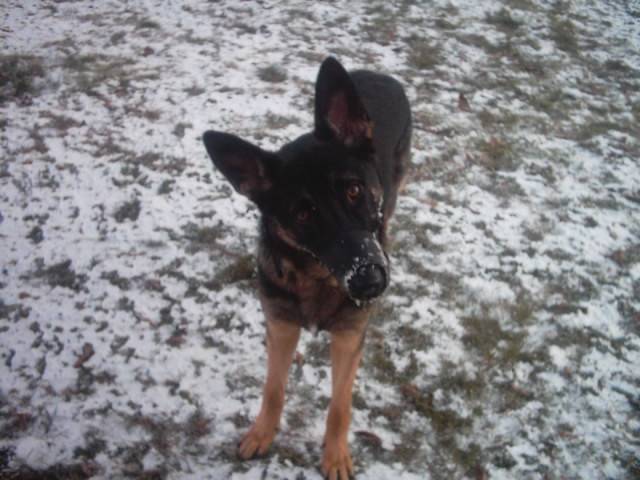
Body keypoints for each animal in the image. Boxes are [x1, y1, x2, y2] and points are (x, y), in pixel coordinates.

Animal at [203, 57, 411, 479]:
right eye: (302, 214)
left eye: (353, 190)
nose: (370, 281)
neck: (319, 278)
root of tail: (380, 75)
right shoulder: (281, 326)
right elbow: (273, 388)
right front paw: (262, 433)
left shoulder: (349, 337)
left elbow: (340, 405)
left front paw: (335, 456)